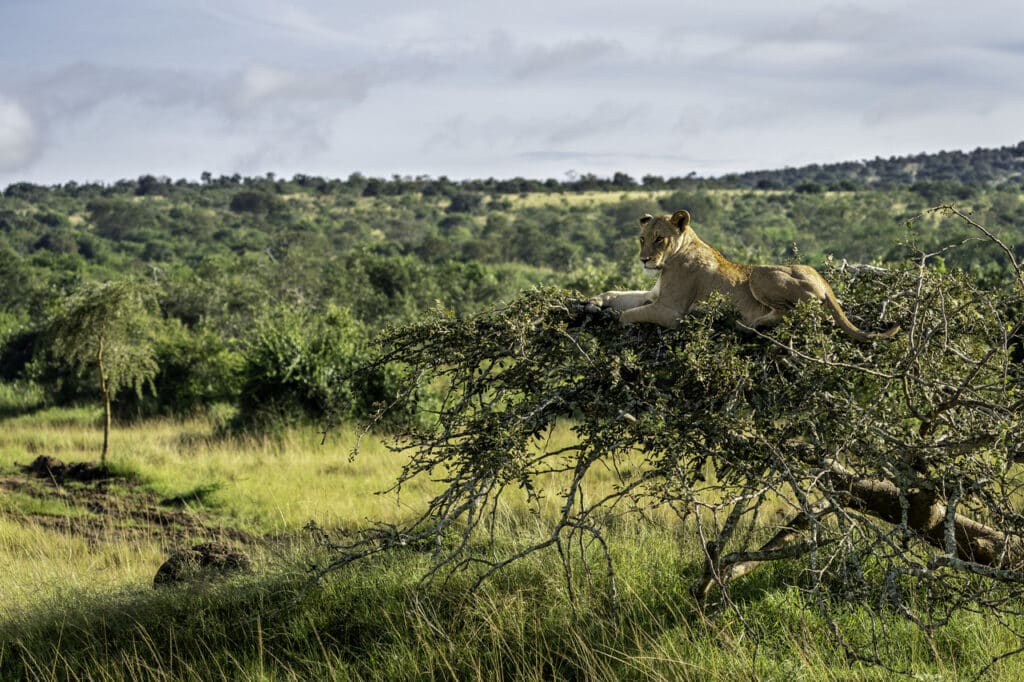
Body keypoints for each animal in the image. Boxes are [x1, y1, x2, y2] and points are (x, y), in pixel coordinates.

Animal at [588, 210, 900, 342]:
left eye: (659, 239)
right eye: (642, 239)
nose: (644, 259)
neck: (671, 259)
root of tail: (825, 283)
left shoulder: (671, 311)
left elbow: (627, 314)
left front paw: (617, 321)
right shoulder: (654, 295)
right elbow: (618, 295)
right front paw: (593, 301)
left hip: (758, 275)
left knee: (794, 315)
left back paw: (750, 324)